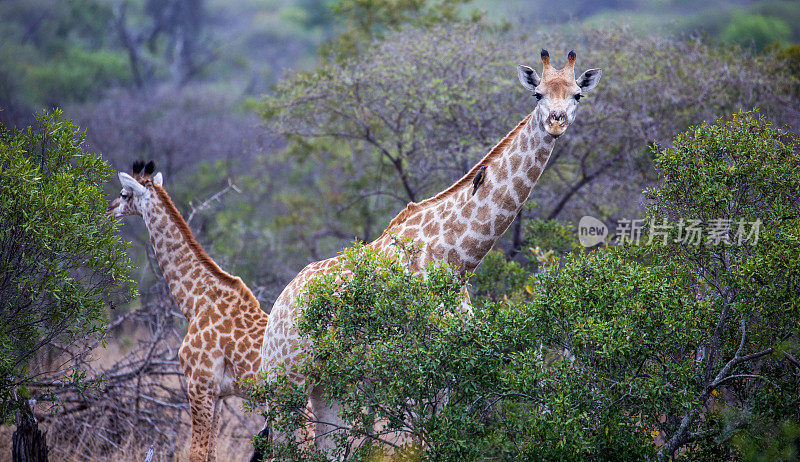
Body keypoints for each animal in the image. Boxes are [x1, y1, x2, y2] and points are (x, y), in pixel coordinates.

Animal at [107, 161, 268, 460]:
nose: (109, 209)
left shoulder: (198, 383)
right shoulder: (219, 393)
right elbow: (212, 453)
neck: (196, 302)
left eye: (124, 194)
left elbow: (196, 453)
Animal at [260, 49, 604, 454]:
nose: (556, 122)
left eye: (577, 96)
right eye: (537, 94)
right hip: (286, 381)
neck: (457, 262)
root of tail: (277, 306)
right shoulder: (408, 369)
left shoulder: (447, 374)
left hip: (332, 385)